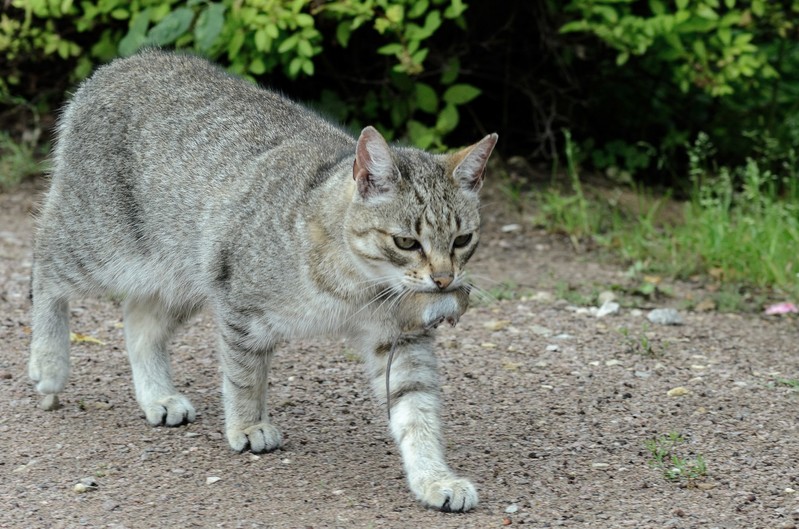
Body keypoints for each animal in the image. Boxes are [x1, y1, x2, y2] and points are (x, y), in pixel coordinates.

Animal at [29, 49, 494, 512]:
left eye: (462, 240)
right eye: (406, 242)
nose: (443, 279)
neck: (358, 287)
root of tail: (120, 64)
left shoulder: (403, 339)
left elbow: (417, 411)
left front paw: (434, 477)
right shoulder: (240, 308)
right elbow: (245, 377)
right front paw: (248, 424)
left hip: (180, 274)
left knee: (139, 321)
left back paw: (156, 395)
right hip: (99, 244)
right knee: (43, 266)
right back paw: (48, 364)